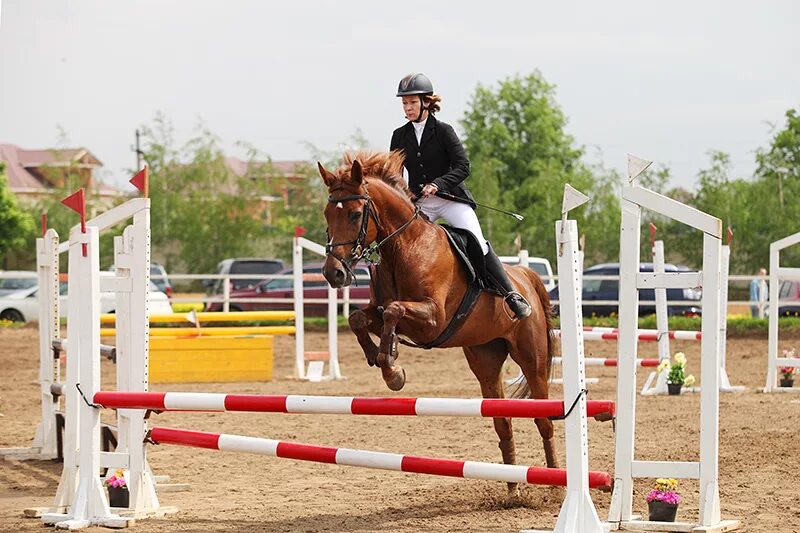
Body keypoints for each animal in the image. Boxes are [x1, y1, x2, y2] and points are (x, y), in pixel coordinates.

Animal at [318, 151, 556, 486]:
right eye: (327, 213)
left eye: (354, 214)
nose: (333, 273)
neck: (404, 247)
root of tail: (525, 276)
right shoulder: (382, 310)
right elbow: (358, 319)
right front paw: (381, 358)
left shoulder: (433, 320)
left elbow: (394, 311)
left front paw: (392, 368)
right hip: (485, 358)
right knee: (502, 421)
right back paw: (513, 488)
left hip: (532, 359)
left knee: (543, 419)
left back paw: (555, 485)